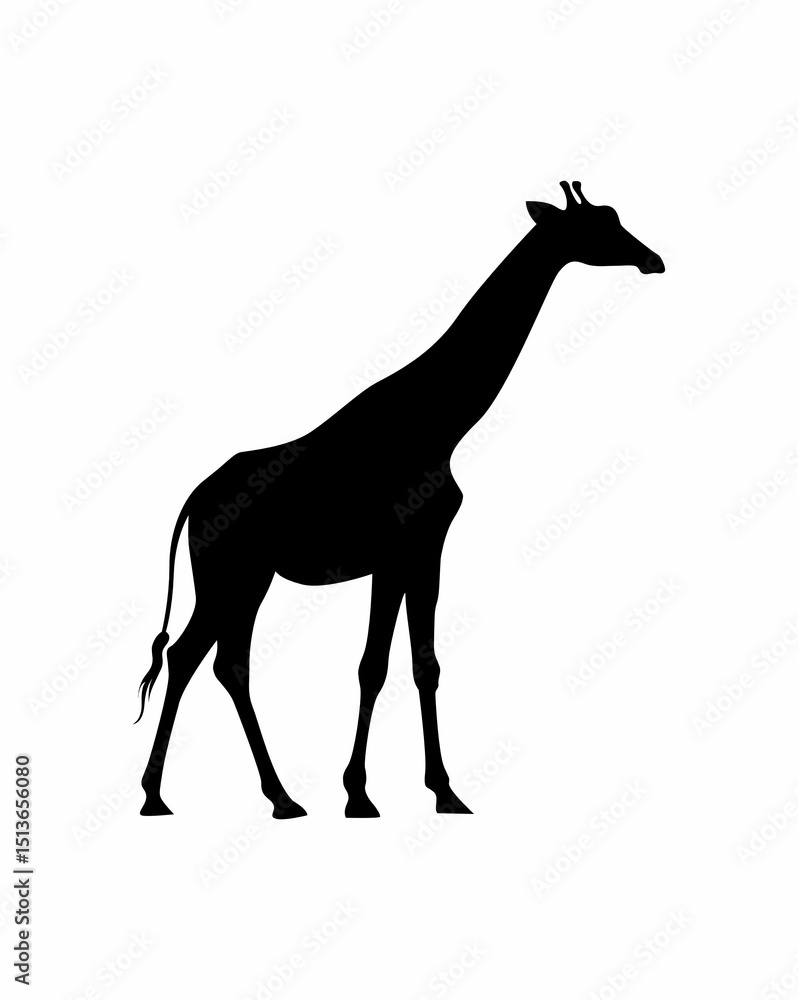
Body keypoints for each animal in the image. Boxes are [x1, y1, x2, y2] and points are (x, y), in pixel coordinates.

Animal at [136, 181, 664, 819]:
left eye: (615, 217)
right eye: (594, 227)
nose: (653, 259)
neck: (440, 422)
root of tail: (194, 499)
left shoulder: (425, 548)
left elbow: (423, 664)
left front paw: (444, 791)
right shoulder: (393, 552)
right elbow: (373, 666)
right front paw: (360, 795)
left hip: (248, 577)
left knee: (221, 662)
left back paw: (278, 797)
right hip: (229, 573)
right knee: (192, 657)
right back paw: (159, 796)